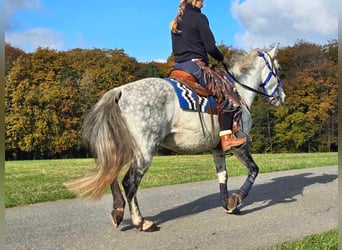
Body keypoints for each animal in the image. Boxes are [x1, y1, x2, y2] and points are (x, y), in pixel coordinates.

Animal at [66, 45, 286, 232]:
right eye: (279, 69)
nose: (281, 97)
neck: (238, 91)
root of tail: (120, 90)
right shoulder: (239, 144)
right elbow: (253, 169)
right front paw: (237, 199)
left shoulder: (217, 148)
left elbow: (222, 176)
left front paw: (227, 203)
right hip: (144, 152)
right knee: (129, 183)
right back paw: (141, 222)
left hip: (123, 149)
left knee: (112, 175)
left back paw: (118, 212)